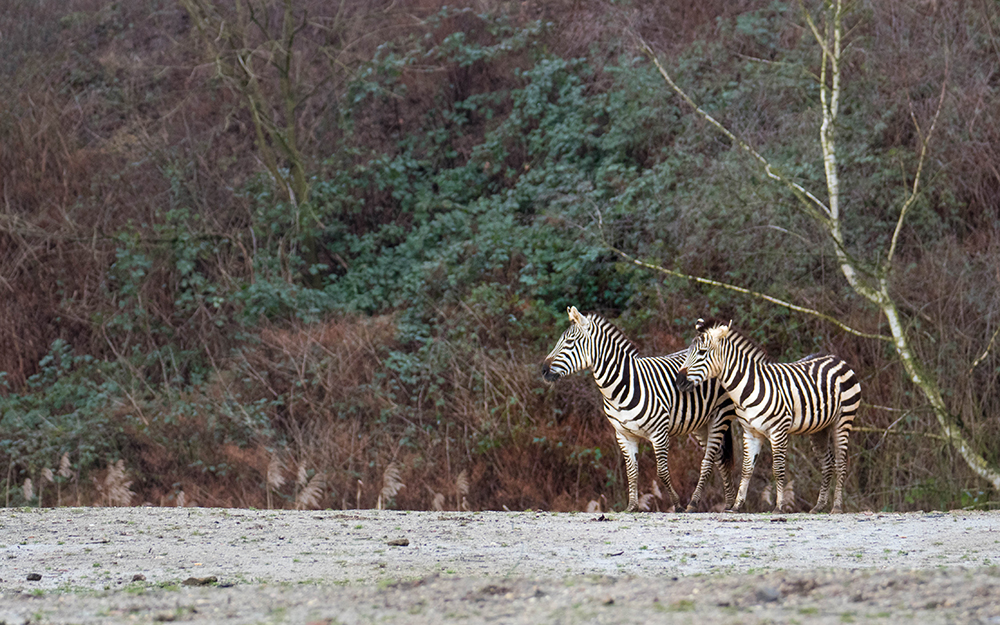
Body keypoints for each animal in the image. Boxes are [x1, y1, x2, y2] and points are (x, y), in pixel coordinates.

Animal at [540, 304, 744, 512]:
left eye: (569, 341)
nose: (543, 370)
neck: (620, 388)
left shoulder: (659, 433)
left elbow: (661, 472)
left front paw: (677, 505)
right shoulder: (623, 435)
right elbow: (631, 471)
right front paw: (631, 506)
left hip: (720, 416)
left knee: (708, 461)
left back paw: (694, 504)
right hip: (701, 423)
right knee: (720, 458)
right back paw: (728, 503)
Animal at [680, 320, 860, 516]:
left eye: (702, 352)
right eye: (688, 352)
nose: (679, 381)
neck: (748, 388)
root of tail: (836, 358)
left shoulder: (778, 431)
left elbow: (778, 469)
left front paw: (779, 507)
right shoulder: (750, 433)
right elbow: (746, 469)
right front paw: (736, 506)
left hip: (843, 420)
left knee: (841, 463)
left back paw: (837, 507)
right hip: (819, 428)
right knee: (828, 463)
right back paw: (818, 506)